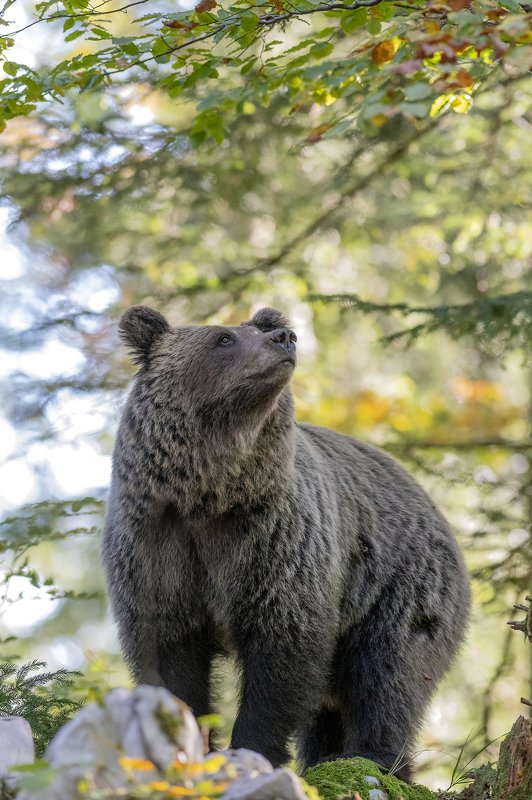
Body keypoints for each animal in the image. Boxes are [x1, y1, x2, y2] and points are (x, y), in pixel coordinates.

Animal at [102, 305, 470, 781]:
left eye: (259, 329)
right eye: (223, 338)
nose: (285, 337)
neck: (208, 496)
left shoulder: (276, 546)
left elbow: (282, 655)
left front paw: (253, 750)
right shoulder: (158, 549)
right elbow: (170, 660)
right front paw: (188, 746)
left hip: (401, 585)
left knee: (389, 674)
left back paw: (374, 757)